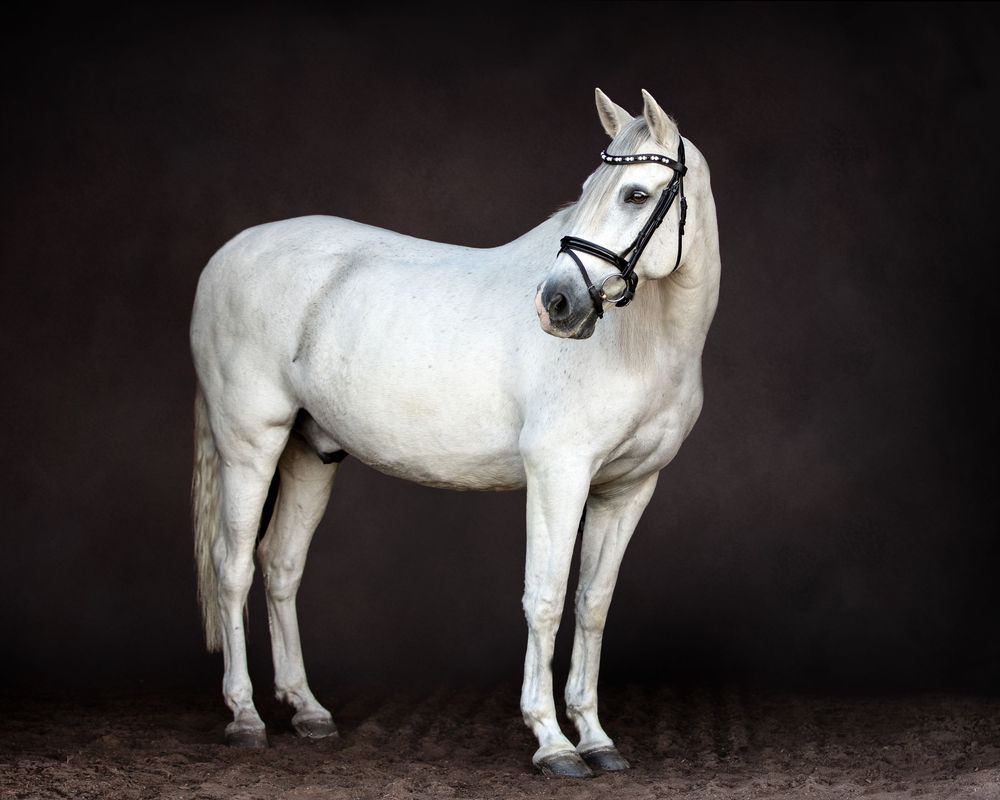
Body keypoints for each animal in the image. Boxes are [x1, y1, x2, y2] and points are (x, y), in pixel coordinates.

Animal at [190, 88, 720, 778]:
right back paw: (246, 717)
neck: (641, 343)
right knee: (231, 569)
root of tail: (226, 255)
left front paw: (597, 738)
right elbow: (545, 598)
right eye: (588, 188)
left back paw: (307, 711)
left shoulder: (629, 488)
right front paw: (553, 743)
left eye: (634, 193)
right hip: (249, 446)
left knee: (280, 565)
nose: (556, 304)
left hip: (310, 453)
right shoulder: (558, 473)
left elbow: (592, 604)